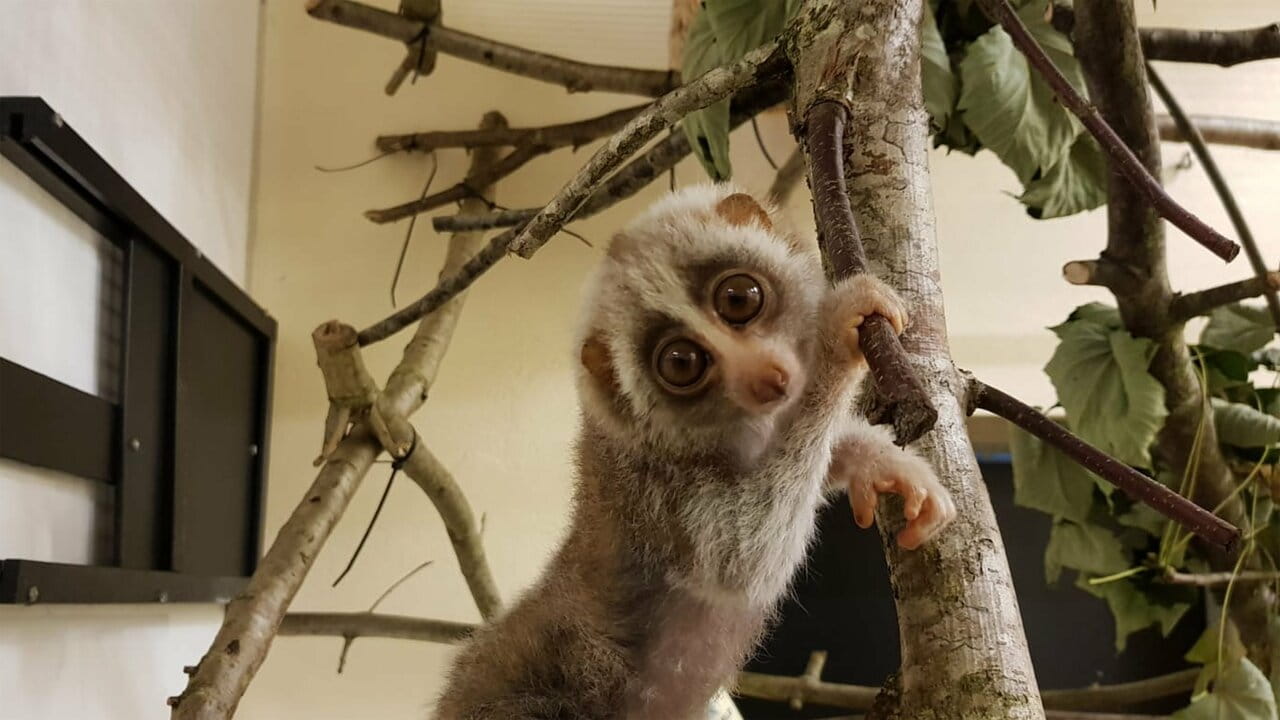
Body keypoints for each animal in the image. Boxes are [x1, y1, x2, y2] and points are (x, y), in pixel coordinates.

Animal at [432, 184, 956, 720]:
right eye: (682, 363)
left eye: (738, 298)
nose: (767, 377)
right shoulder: (659, 490)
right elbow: (742, 555)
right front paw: (834, 334)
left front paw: (885, 467)